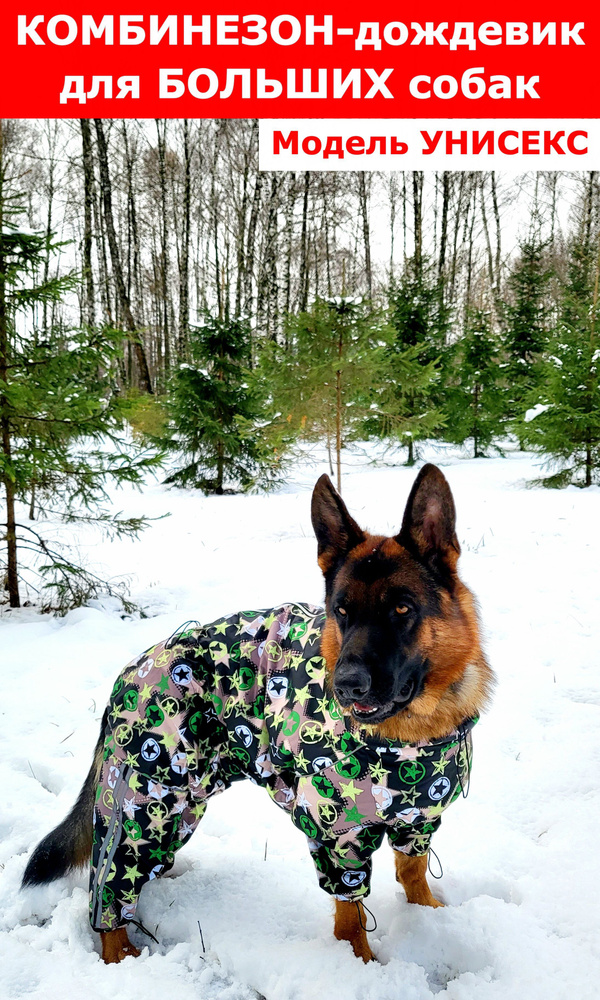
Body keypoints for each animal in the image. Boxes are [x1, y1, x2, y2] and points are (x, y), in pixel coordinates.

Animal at [22, 464, 492, 964]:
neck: (411, 735)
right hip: (143, 802)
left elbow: (413, 874)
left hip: (177, 804)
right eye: (341, 611)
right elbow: (350, 915)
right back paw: (121, 956)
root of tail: (130, 671)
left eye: (402, 608)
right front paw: (359, 966)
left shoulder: (418, 823)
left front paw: (429, 920)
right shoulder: (337, 838)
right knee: (108, 883)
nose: (346, 685)